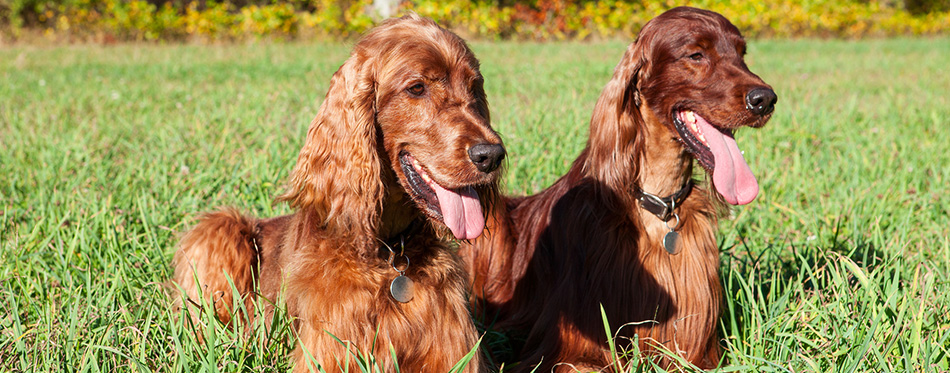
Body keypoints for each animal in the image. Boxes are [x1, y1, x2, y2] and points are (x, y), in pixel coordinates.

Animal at [176, 14, 510, 372]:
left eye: (474, 86)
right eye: (417, 88)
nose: (491, 155)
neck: (389, 254)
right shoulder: (328, 353)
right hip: (221, 227)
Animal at [464, 7, 776, 370]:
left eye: (742, 54)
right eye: (696, 55)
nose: (765, 100)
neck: (657, 205)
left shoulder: (696, 350)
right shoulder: (568, 351)